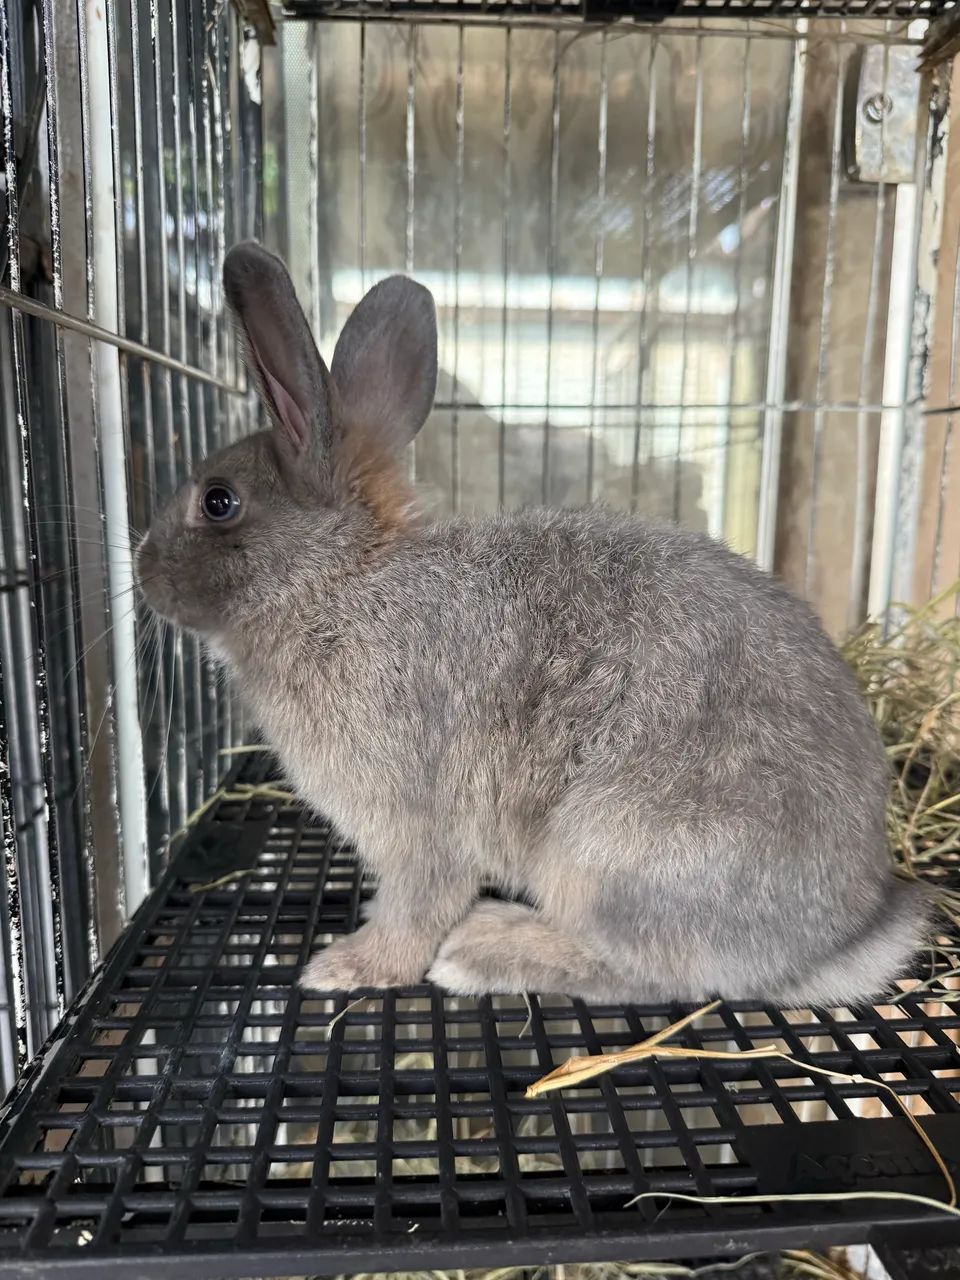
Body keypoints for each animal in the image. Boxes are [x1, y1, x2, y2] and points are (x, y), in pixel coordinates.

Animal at [136, 240, 931, 1008]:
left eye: (217, 501)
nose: (142, 570)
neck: (338, 581)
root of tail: (841, 936)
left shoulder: (417, 826)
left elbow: (415, 909)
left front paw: (348, 967)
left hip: (606, 853)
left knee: (653, 975)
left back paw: (483, 949)